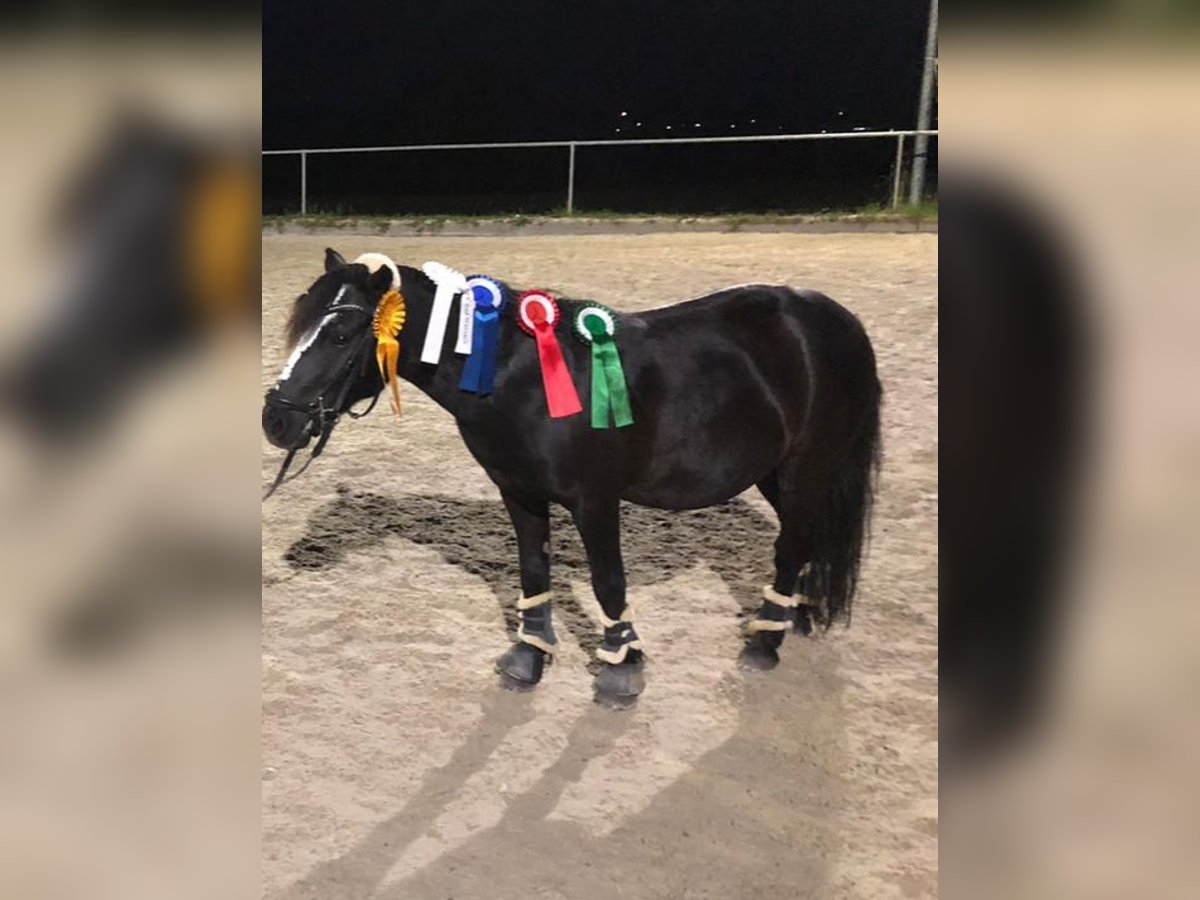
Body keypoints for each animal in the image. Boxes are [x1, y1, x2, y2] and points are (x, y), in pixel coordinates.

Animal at [265, 250, 883, 710]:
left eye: (341, 334)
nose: (277, 420)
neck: (517, 379)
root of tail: (835, 319)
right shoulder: (519, 494)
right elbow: (533, 568)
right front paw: (529, 658)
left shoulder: (595, 501)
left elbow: (608, 582)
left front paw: (622, 669)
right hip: (780, 475)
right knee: (806, 540)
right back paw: (793, 617)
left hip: (805, 469)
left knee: (791, 545)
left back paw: (764, 642)